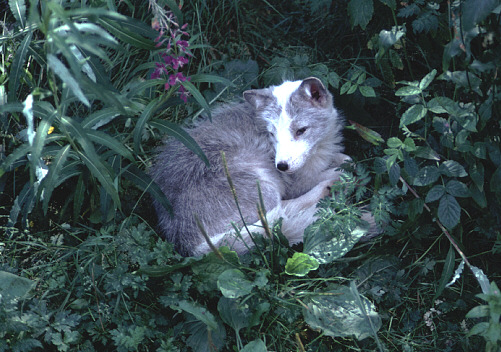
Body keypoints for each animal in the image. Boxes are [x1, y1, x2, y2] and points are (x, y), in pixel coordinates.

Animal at [150, 77, 376, 256]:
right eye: (273, 134)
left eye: (301, 130)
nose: (281, 166)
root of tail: (190, 245)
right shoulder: (296, 182)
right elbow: (337, 169)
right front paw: (341, 176)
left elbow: (346, 159)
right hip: (261, 183)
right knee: (281, 215)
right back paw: (333, 188)